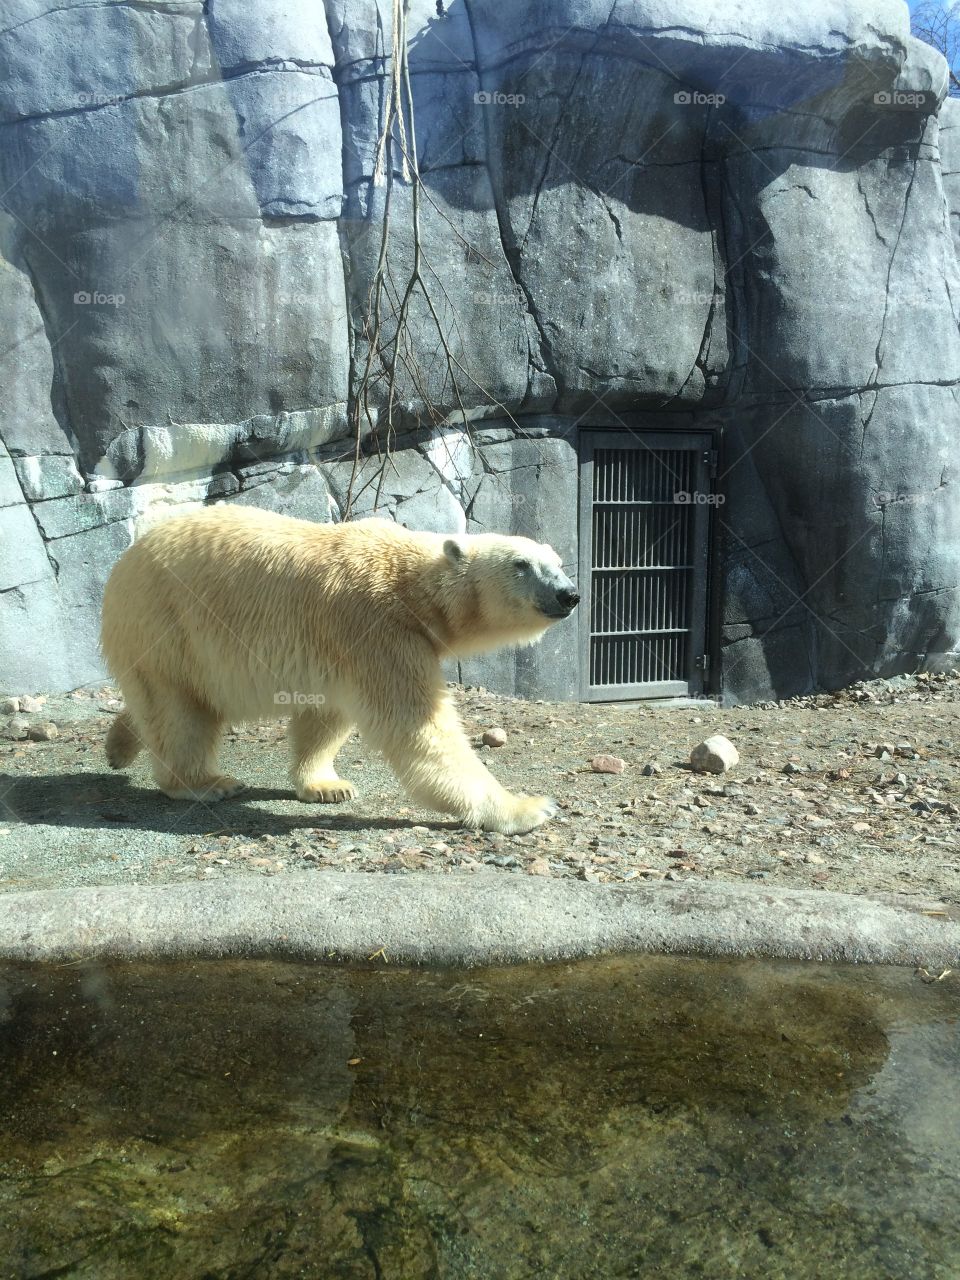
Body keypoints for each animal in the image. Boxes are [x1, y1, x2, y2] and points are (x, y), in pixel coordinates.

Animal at [100, 505, 579, 835]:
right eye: (520, 564)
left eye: (557, 562)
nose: (569, 594)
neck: (408, 582)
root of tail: (124, 562)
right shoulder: (376, 628)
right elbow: (417, 727)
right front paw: (528, 808)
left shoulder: (339, 647)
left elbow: (326, 715)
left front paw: (328, 785)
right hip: (163, 624)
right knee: (179, 711)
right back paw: (207, 782)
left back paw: (119, 745)